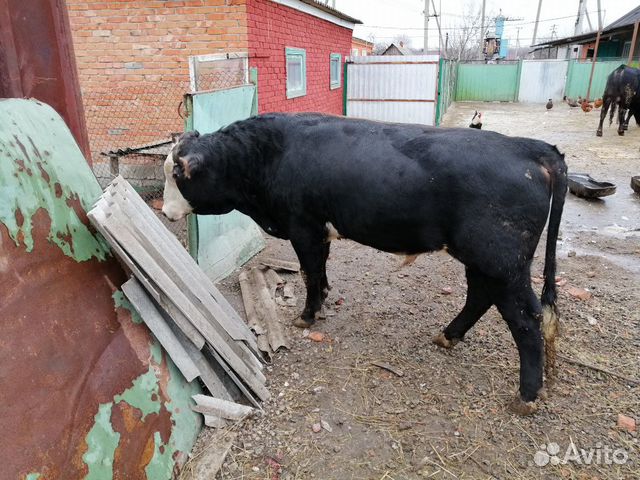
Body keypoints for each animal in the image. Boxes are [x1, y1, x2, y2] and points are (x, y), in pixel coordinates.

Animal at [162, 112, 568, 412]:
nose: (165, 212)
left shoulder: (303, 228)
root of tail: (529, 148)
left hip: (502, 264)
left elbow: (309, 273)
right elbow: (321, 270)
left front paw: (307, 314)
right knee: (480, 298)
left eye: (178, 175)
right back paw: (448, 336)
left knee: (526, 321)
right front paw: (324, 301)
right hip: (484, 261)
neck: (268, 154)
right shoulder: (319, 231)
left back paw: (526, 396)